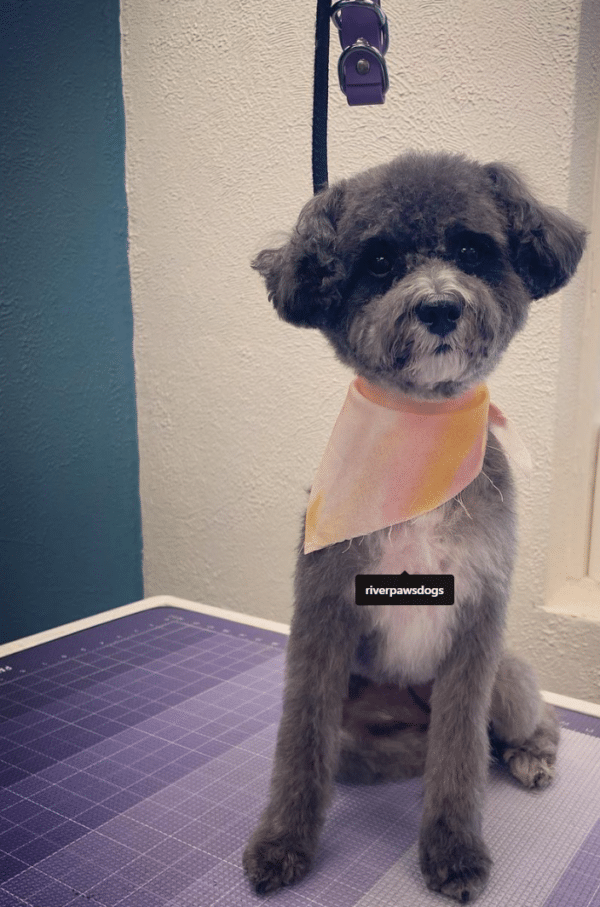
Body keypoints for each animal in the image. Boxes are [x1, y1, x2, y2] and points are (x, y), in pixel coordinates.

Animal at [240, 151, 584, 900]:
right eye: (379, 262)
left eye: (471, 251)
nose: (440, 306)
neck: (421, 437)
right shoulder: (324, 615)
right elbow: (299, 744)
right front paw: (283, 841)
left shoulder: (477, 624)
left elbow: (459, 756)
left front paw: (454, 851)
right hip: (365, 726)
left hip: (508, 674)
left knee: (530, 722)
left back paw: (529, 756)